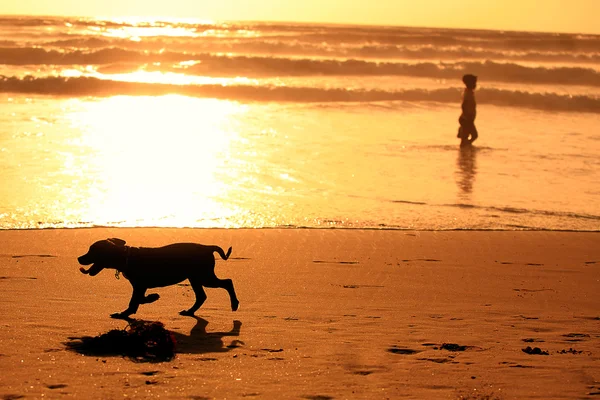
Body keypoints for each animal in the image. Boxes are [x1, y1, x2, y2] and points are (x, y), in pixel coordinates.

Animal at [78, 238, 239, 318]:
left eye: (92, 251)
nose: (79, 258)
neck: (126, 256)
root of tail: (207, 247)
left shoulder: (139, 286)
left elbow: (134, 301)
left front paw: (124, 313)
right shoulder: (140, 286)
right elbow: (137, 300)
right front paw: (151, 298)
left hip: (204, 276)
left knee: (227, 282)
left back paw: (234, 304)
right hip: (195, 277)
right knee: (201, 296)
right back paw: (189, 311)